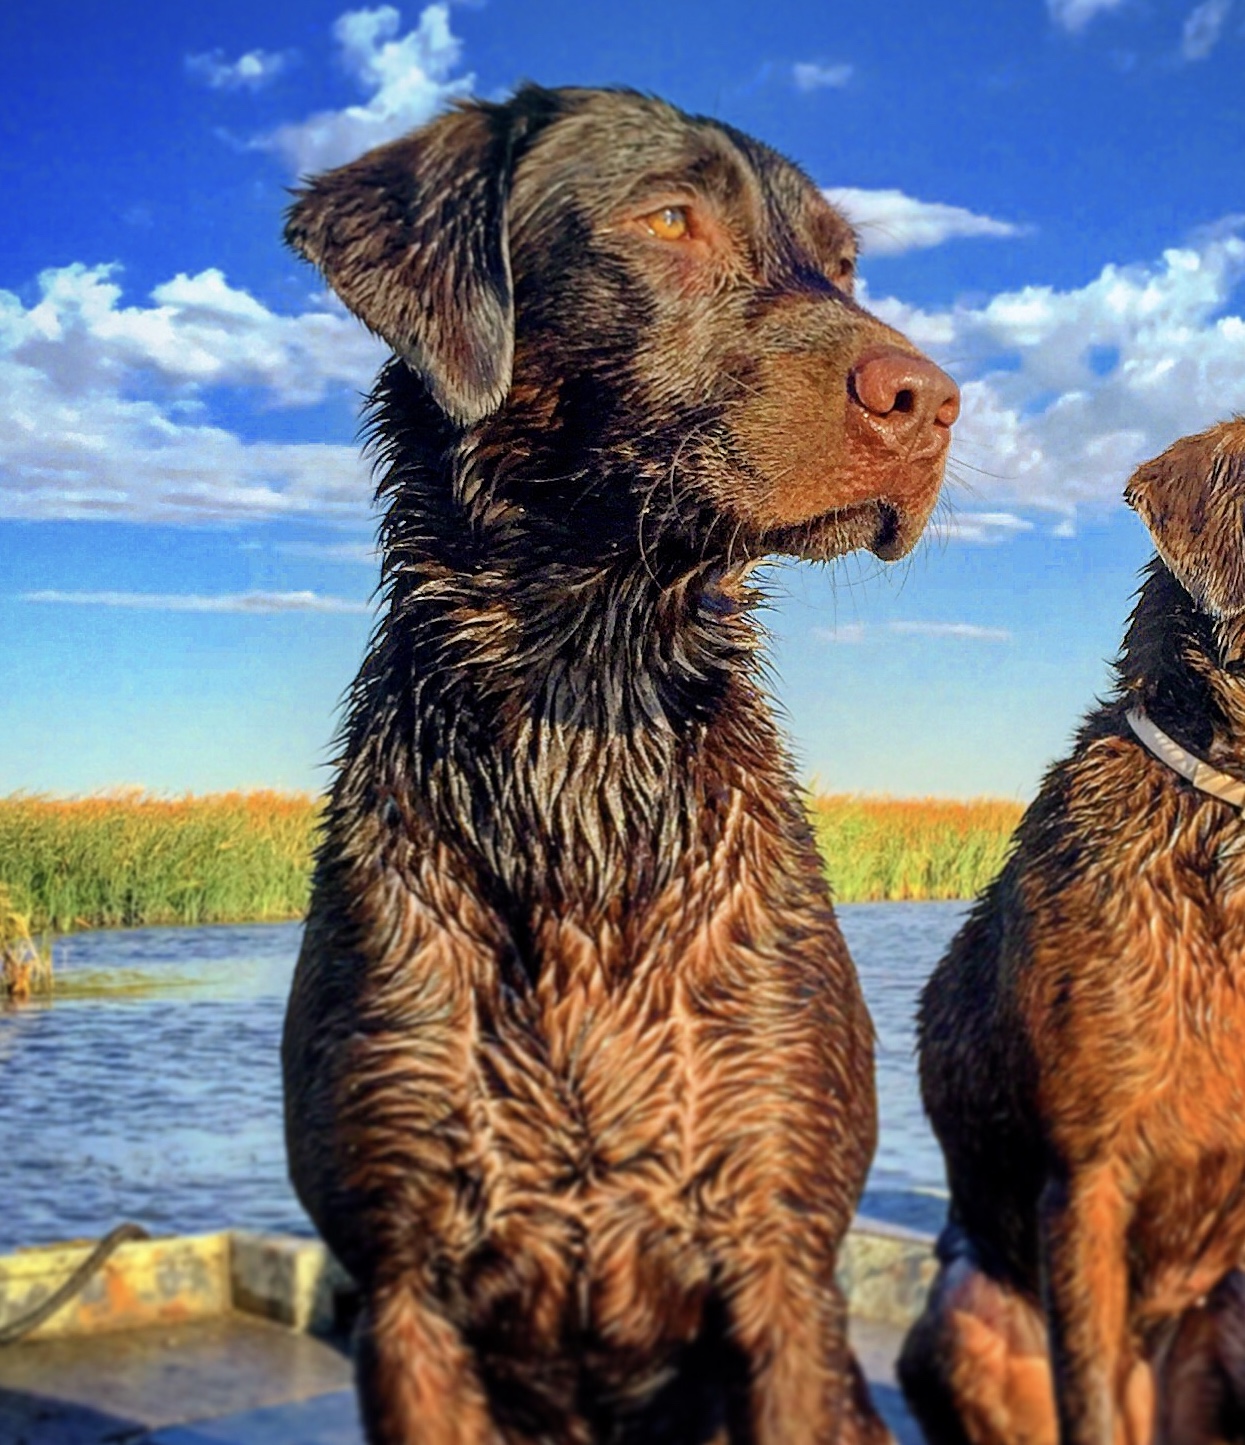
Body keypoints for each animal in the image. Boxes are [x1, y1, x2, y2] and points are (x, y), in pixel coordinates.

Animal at [284, 84, 964, 1439]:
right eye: (669, 218)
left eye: (844, 262)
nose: (931, 400)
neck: (583, 725)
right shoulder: (403, 1290)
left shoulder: (781, 1255)